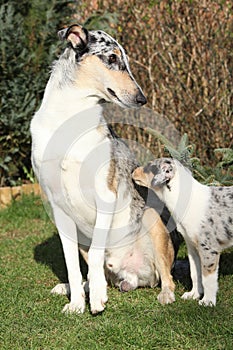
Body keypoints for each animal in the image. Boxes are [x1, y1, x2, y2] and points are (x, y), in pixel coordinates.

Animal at [30, 24, 177, 314]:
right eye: (111, 58)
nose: (142, 98)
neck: (70, 117)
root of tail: (131, 275)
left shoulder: (105, 195)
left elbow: (98, 253)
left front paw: (97, 297)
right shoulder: (58, 207)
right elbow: (72, 265)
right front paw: (76, 303)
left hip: (152, 219)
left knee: (167, 277)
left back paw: (163, 294)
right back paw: (73, 287)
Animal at [133, 159, 233, 306]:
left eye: (149, 167)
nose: (133, 171)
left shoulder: (209, 249)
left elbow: (207, 278)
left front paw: (207, 301)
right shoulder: (192, 248)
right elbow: (195, 274)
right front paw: (194, 295)